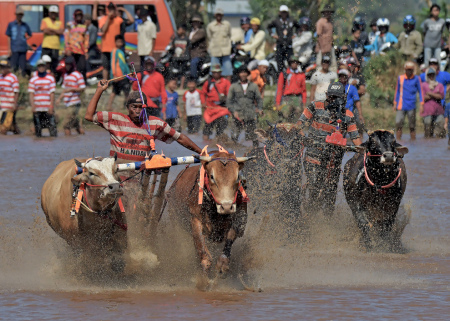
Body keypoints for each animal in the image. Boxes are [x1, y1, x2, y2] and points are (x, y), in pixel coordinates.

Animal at [168, 148, 253, 276]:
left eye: (237, 176)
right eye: (212, 177)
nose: (226, 207)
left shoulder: (238, 217)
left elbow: (230, 237)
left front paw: (223, 263)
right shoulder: (195, 218)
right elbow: (199, 241)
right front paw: (206, 263)